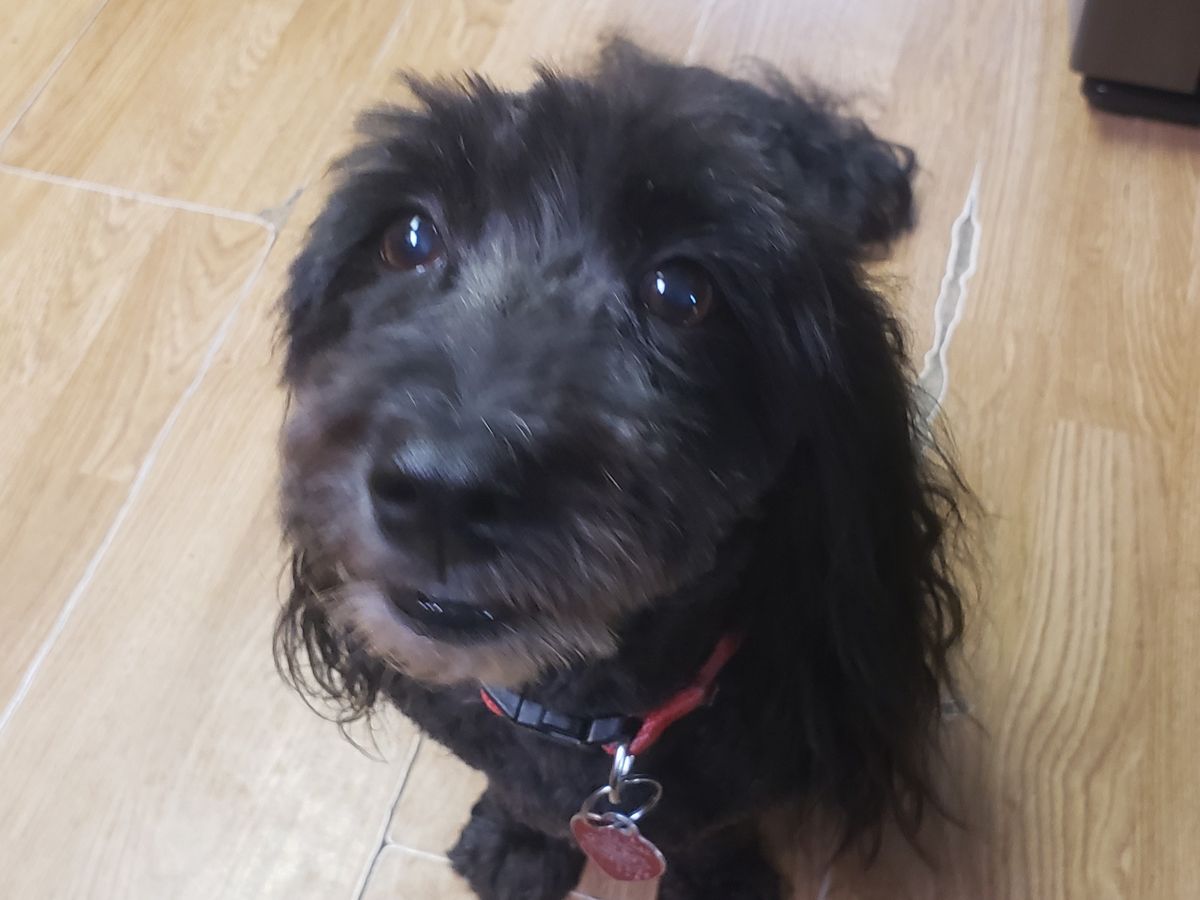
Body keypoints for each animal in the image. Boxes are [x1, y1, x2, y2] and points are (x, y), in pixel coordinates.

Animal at [275, 39, 969, 900]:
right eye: (406, 238)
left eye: (683, 292)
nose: (441, 491)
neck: (584, 717)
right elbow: (517, 793)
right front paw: (519, 840)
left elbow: (708, 831)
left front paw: (719, 882)